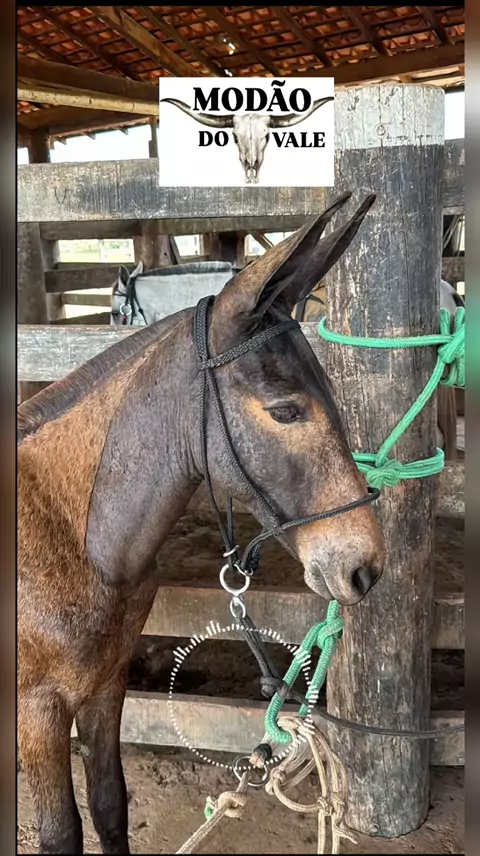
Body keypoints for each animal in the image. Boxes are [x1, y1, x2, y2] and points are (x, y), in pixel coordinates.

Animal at [18, 191, 384, 855]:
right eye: (285, 410)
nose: (364, 565)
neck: (65, 529)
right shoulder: (37, 710)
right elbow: (62, 833)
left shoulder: (105, 686)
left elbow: (110, 803)